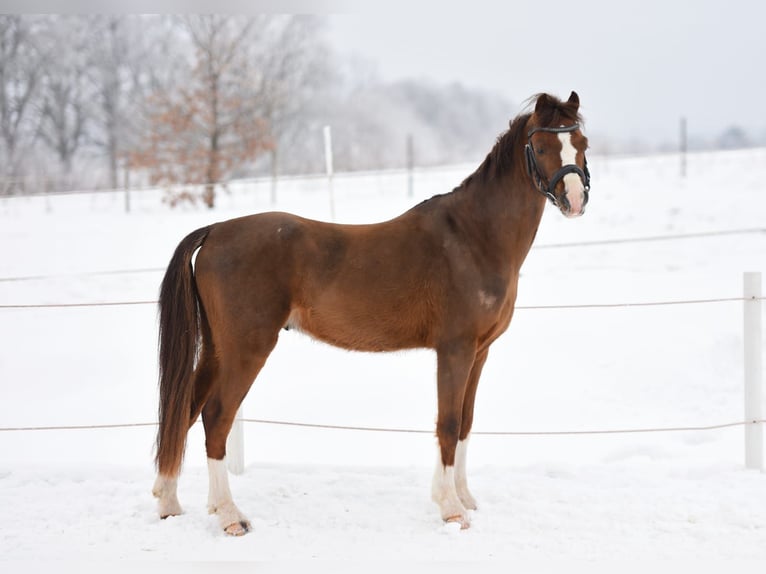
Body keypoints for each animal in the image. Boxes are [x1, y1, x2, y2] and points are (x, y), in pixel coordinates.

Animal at [152, 91, 590, 535]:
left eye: (581, 143)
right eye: (541, 147)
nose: (574, 201)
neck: (473, 236)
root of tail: (215, 230)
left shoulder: (479, 352)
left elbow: (466, 422)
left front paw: (465, 498)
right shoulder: (455, 349)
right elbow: (448, 423)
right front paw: (451, 508)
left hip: (216, 350)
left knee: (184, 410)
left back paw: (170, 502)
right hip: (246, 349)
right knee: (215, 417)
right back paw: (230, 515)